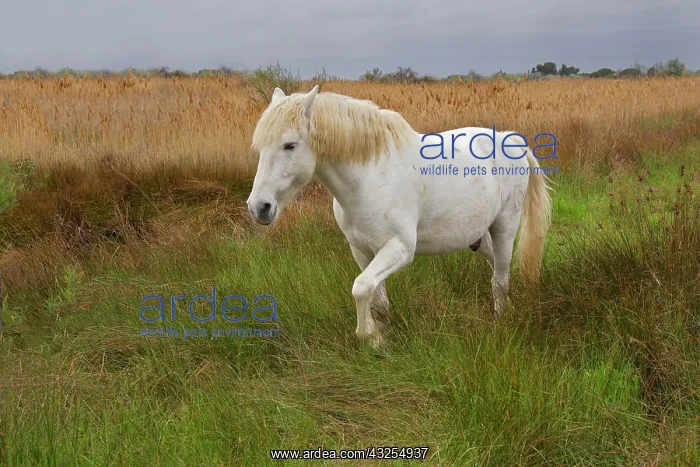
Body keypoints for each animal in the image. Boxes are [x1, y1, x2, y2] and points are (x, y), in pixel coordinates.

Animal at [247, 85, 552, 347]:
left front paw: (370, 336)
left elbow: (361, 287)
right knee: (498, 268)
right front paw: (383, 335)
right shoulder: (362, 251)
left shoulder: (400, 249)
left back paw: (502, 320)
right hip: (478, 237)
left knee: (500, 278)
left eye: (289, 145)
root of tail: (511, 140)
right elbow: (375, 296)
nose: (258, 207)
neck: (370, 177)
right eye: (260, 148)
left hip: (505, 227)